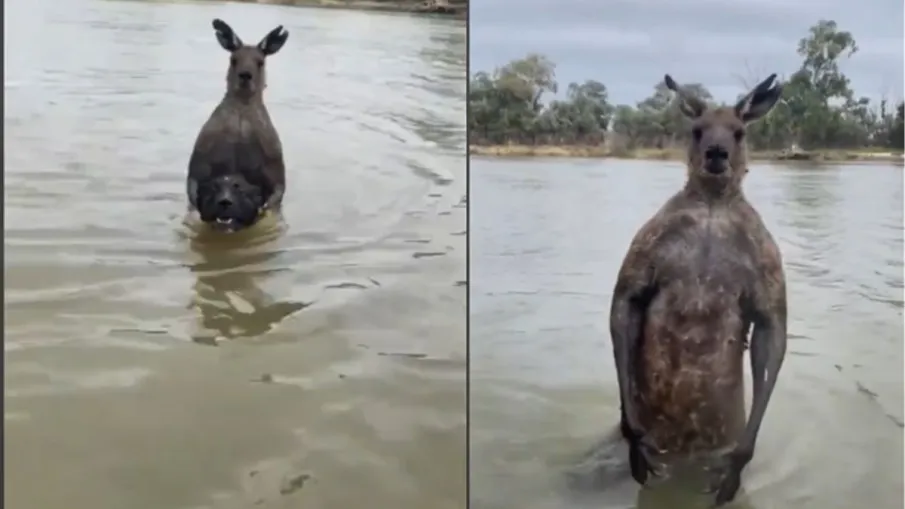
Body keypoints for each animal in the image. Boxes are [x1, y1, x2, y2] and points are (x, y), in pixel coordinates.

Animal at [187, 18, 290, 233]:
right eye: (233, 59)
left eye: (260, 62)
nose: (245, 75)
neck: (241, 116)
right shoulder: (201, 155)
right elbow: (193, 181)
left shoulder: (274, 164)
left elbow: (276, 190)